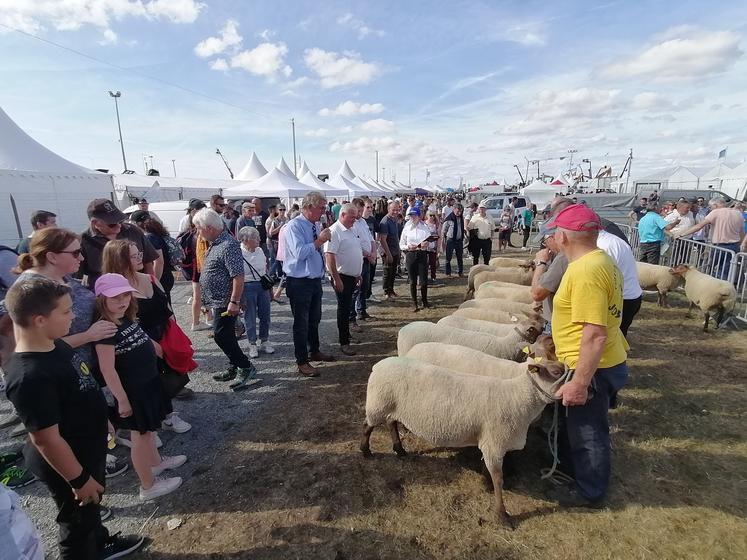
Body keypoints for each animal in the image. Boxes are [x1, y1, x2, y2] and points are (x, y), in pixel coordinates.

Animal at [360, 354, 568, 524]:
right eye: (556, 372)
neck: (518, 397)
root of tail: (378, 365)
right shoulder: (495, 442)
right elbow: (498, 479)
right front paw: (502, 516)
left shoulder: (491, 441)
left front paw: (486, 484)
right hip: (378, 403)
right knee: (368, 425)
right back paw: (365, 450)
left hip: (390, 405)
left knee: (391, 423)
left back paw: (400, 450)